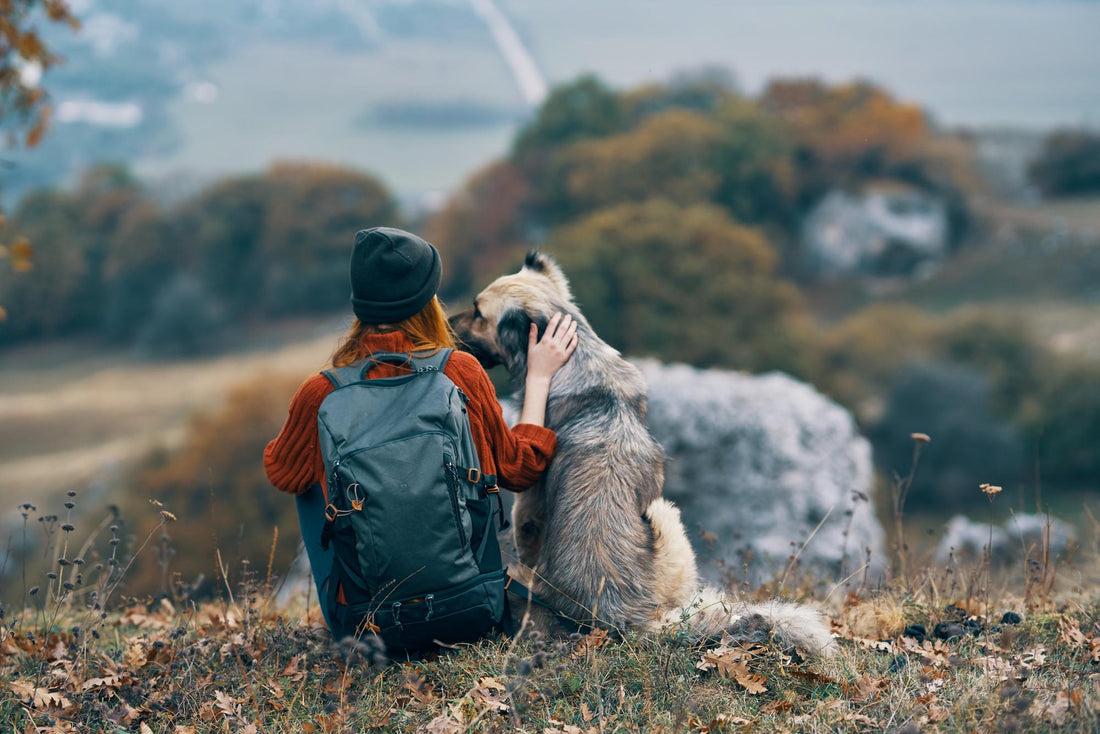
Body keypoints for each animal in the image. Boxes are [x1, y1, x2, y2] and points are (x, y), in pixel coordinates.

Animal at [446, 253, 831, 655]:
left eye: (478, 312)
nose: (446, 324)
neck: (579, 359)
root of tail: (621, 617)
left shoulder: (529, 506)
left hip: (665, 514)